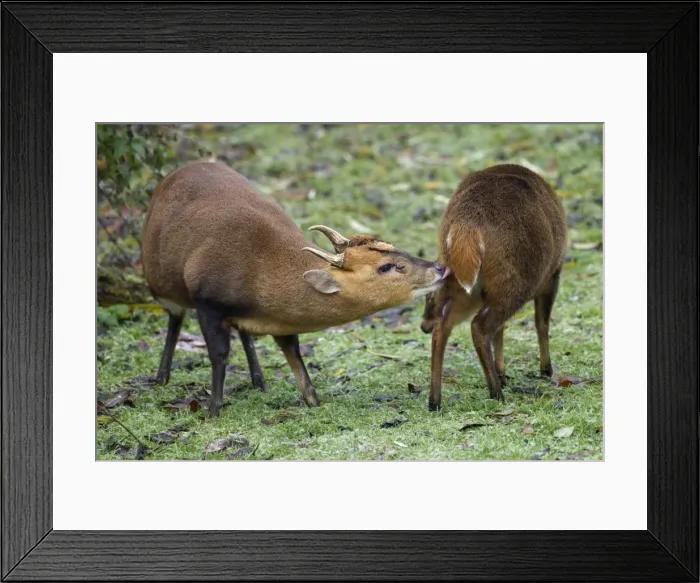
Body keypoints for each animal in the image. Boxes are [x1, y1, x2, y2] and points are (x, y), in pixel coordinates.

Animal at [141, 162, 445, 417]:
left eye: (395, 247)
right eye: (385, 266)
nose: (440, 268)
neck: (260, 274)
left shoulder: (281, 320)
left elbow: (295, 354)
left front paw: (313, 401)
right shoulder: (207, 303)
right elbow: (218, 355)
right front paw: (213, 410)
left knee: (244, 334)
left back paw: (259, 381)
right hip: (160, 284)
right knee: (176, 318)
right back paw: (162, 376)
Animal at [420, 164, 567, 410]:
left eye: (427, 297)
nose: (423, 325)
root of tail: (466, 227)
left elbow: (502, 330)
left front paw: (503, 371)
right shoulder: (552, 275)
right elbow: (541, 323)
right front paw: (546, 369)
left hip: (461, 286)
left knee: (445, 326)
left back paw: (435, 401)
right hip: (515, 282)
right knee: (479, 325)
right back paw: (496, 392)